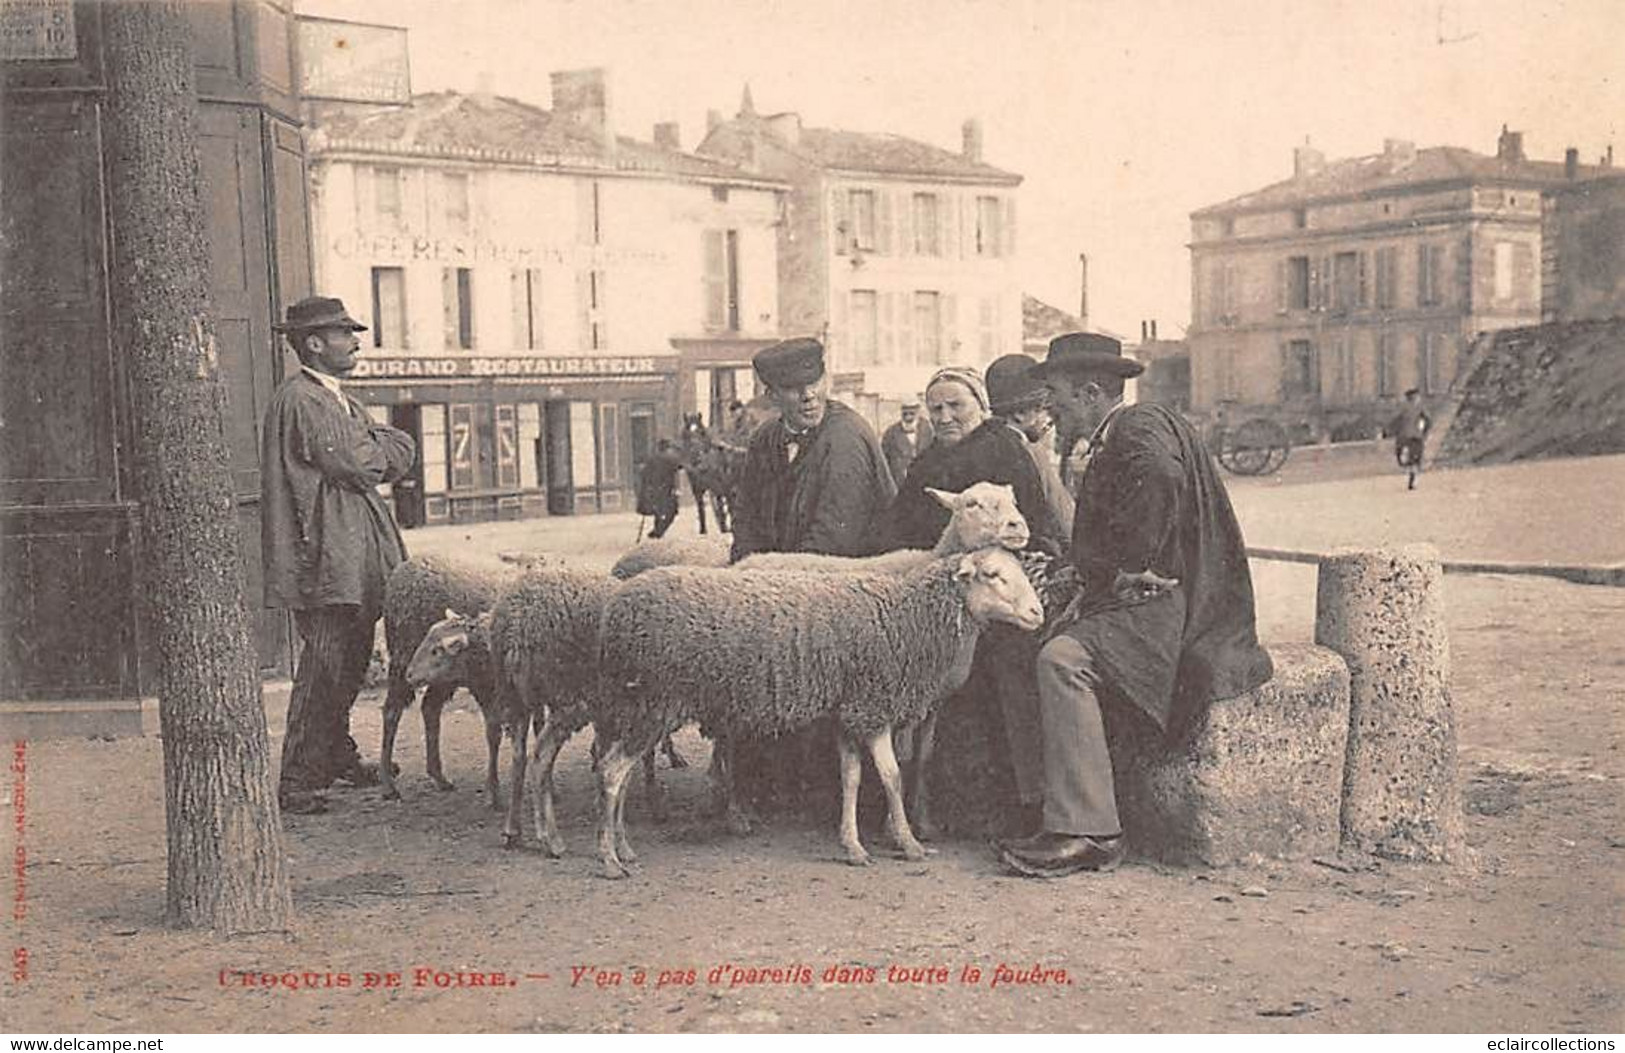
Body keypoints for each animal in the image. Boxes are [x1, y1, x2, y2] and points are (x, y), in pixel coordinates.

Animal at [588, 546, 1040, 877]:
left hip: (635, 704)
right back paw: (609, 859)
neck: (905, 618)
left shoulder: (849, 713)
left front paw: (853, 846)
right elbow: (892, 777)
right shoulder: (872, 706)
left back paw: (625, 847)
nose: (1038, 613)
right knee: (611, 772)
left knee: (619, 774)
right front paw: (909, 843)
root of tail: (617, 610)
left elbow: (851, 778)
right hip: (654, 702)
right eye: (993, 575)